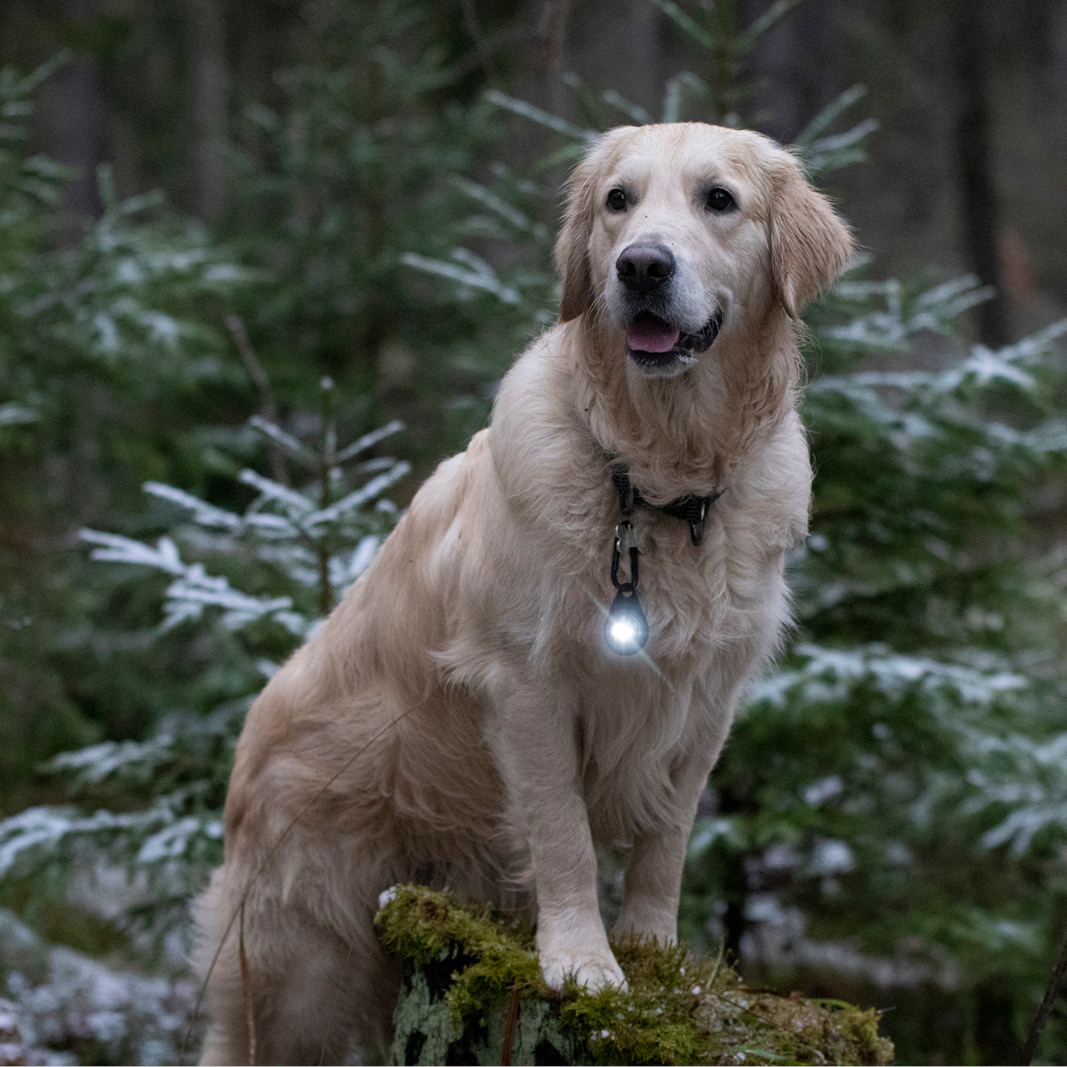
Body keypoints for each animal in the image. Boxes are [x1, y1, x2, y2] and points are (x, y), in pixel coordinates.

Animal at [196, 121, 853, 1062]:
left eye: (718, 200)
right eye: (617, 201)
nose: (641, 266)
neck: (653, 479)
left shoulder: (707, 697)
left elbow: (666, 838)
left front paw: (654, 952)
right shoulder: (527, 683)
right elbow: (563, 831)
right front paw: (582, 960)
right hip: (299, 964)